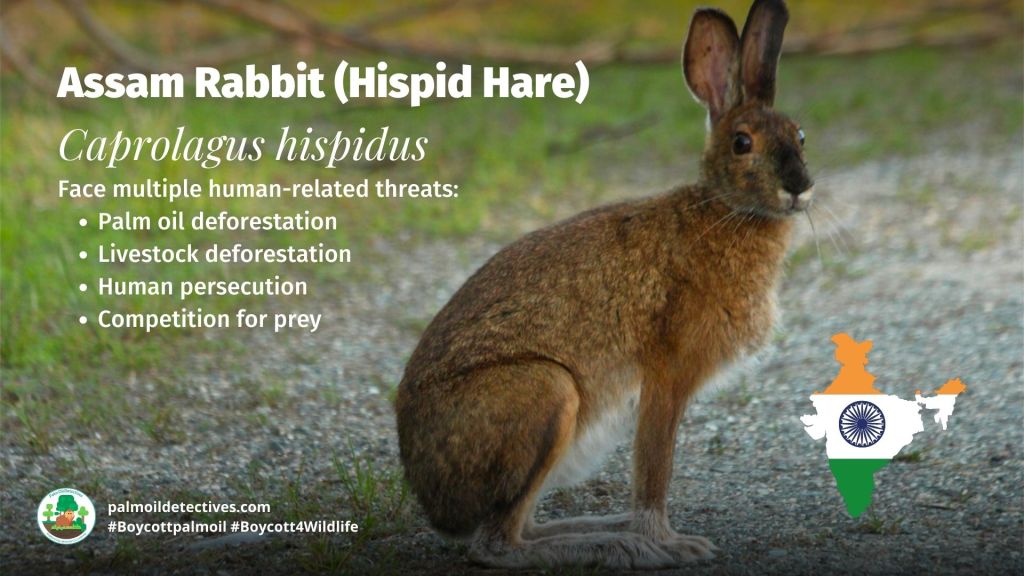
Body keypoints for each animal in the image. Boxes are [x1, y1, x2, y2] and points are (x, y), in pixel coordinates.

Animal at [395, 0, 813, 569]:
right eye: (742, 143)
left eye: (801, 135)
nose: (800, 187)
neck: (725, 211)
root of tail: (431, 497)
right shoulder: (666, 376)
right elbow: (653, 472)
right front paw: (671, 544)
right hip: (547, 394)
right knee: (498, 544)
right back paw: (623, 544)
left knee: (520, 527)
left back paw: (606, 530)